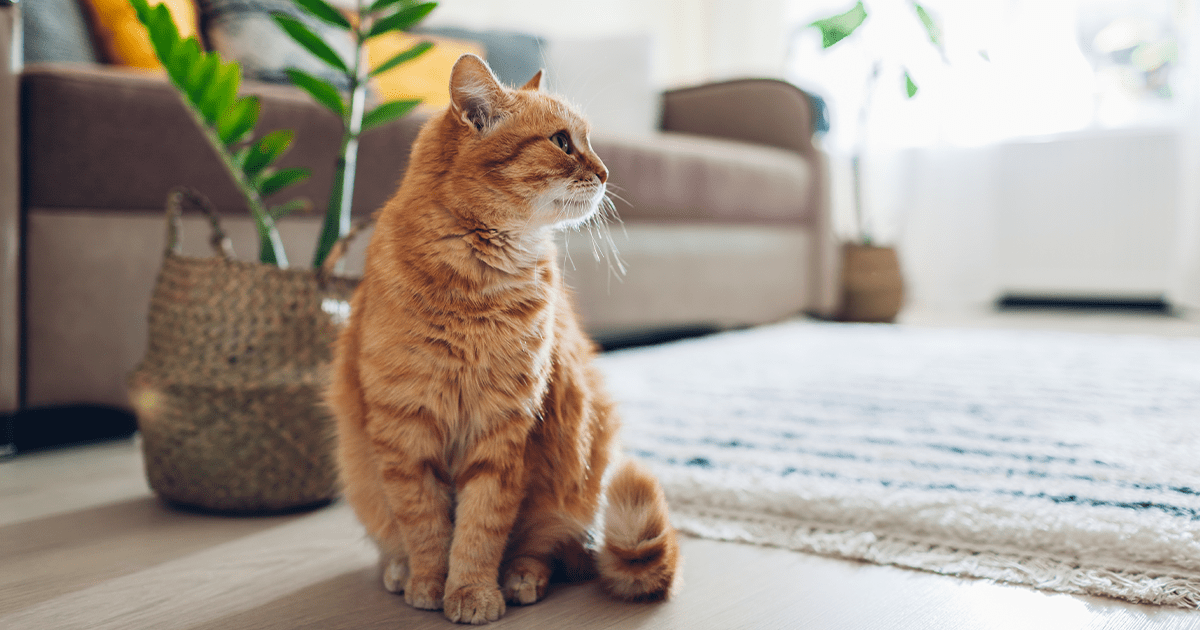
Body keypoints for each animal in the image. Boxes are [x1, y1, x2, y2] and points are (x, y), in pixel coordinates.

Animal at [328, 55, 681, 624]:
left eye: (586, 140)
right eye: (562, 142)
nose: (607, 173)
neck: (475, 287)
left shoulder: (505, 429)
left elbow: (479, 528)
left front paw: (472, 592)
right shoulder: (405, 432)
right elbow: (425, 526)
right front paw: (429, 583)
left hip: (580, 467)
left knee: (549, 549)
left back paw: (520, 577)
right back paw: (400, 570)